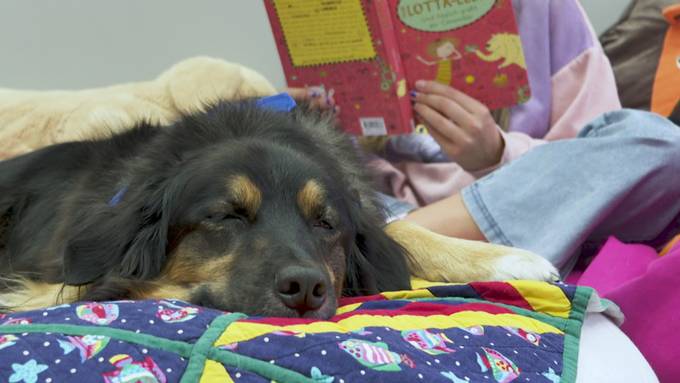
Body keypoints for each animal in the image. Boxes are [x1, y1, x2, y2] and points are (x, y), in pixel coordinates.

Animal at [0, 101, 556, 318]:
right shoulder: (45, 284)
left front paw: (506, 259)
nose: (306, 289)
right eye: (226, 216)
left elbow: (400, 230)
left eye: (326, 223)